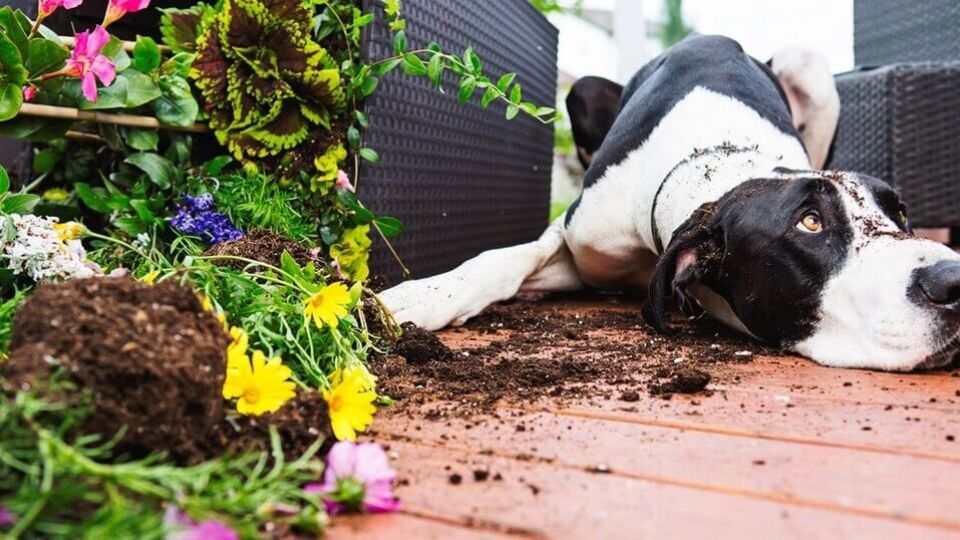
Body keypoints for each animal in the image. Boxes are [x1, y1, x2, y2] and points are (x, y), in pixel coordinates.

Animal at [382, 34, 960, 372]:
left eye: (898, 213)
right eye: (810, 222)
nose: (953, 281)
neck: (721, 159)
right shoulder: (581, 239)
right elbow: (503, 259)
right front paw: (418, 297)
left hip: (809, 64)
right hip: (584, 89)